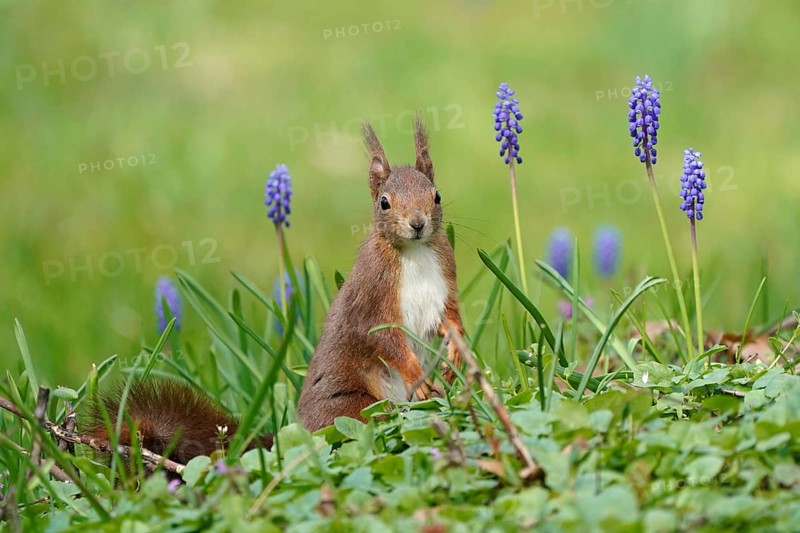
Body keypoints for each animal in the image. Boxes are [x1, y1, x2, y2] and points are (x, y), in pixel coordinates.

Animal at [297, 116, 465, 431]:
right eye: (384, 202)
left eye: (437, 196)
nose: (417, 223)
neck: (414, 252)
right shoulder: (372, 295)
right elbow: (384, 338)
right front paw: (415, 373)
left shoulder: (445, 278)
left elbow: (450, 319)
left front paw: (457, 354)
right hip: (354, 408)